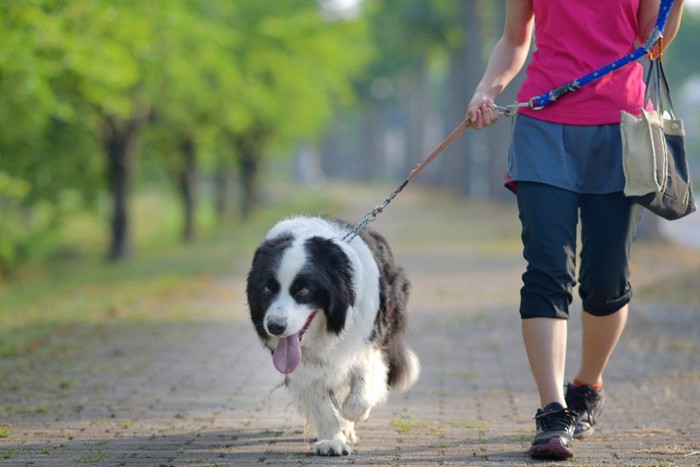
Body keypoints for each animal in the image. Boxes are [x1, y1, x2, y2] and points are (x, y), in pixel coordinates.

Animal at [247, 217, 422, 458]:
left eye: (303, 290)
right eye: (267, 289)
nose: (275, 327)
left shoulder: (369, 341)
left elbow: (361, 390)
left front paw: (351, 417)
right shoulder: (303, 367)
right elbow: (320, 402)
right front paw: (331, 440)